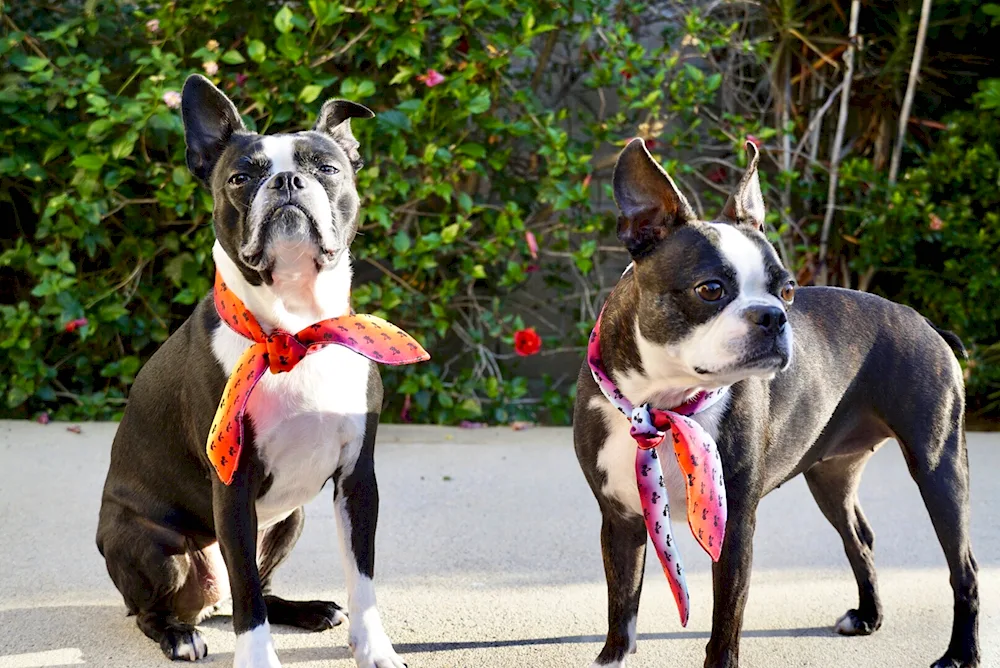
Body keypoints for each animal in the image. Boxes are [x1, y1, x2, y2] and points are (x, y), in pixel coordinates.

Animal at [94, 73, 422, 668]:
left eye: (327, 168)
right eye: (241, 177)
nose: (288, 180)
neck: (294, 331)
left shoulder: (357, 479)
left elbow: (361, 578)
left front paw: (375, 649)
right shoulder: (234, 487)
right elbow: (247, 593)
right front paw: (257, 658)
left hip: (288, 520)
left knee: (261, 587)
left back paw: (309, 610)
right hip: (153, 546)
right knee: (170, 606)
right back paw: (179, 635)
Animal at [576, 140, 980, 668]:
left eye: (787, 291)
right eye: (711, 289)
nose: (773, 315)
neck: (664, 405)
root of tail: (927, 322)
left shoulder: (734, 524)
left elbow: (726, 620)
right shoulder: (621, 518)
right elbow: (621, 603)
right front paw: (613, 657)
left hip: (939, 464)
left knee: (964, 567)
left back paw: (961, 653)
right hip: (830, 474)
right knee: (860, 538)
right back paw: (869, 616)